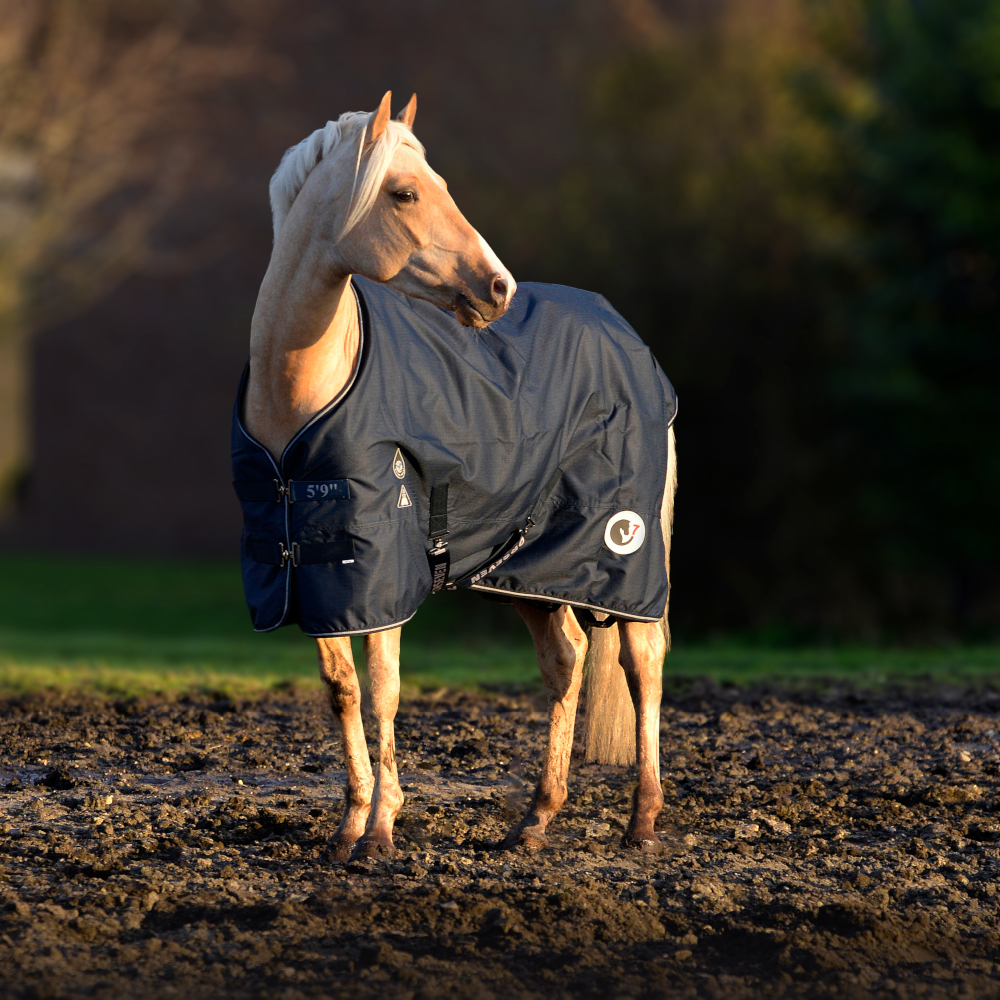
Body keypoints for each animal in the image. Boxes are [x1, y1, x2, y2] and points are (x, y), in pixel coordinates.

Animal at [235, 91, 677, 861]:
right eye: (405, 193)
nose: (498, 287)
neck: (303, 399)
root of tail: (626, 335)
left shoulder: (382, 573)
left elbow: (384, 689)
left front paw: (381, 831)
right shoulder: (313, 574)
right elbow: (342, 690)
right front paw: (348, 826)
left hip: (624, 552)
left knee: (640, 663)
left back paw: (642, 822)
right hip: (532, 568)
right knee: (567, 662)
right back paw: (534, 821)